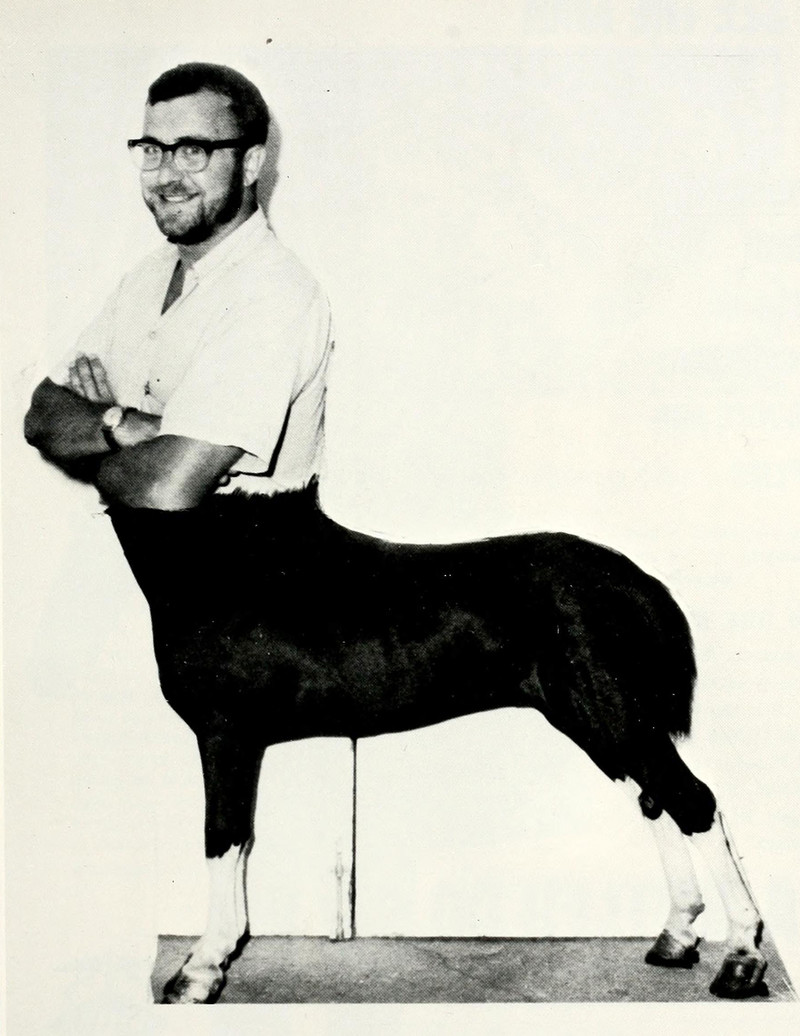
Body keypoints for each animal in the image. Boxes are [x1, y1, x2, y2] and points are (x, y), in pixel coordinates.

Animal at [106, 482, 768, 1004]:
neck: (226, 566)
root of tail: (636, 583)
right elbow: (238, 841)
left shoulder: (226, 735)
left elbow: (224, 836)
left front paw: (200, 970)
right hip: (601, 726)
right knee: (657, 802)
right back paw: (677, 938)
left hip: (612, 717)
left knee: (693, 802)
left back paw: (741, 960)